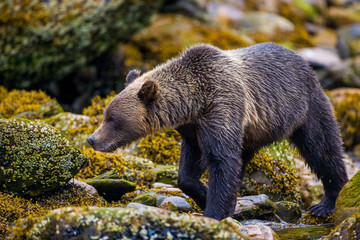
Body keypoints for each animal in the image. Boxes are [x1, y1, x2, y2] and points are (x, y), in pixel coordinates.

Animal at [87, 42, 348, 220]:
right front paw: (203, 194)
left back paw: (327, 202)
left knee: (322, 148)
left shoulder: (222, 106)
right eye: (105, 114)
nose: (92, 139)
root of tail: (305, 63)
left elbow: (221, 160)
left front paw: (214, 212)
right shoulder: (192, 128)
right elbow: (189, 168)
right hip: (252, 134)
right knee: (242, 160)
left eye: (112, 119)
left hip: (306, 107)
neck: (194, 102)